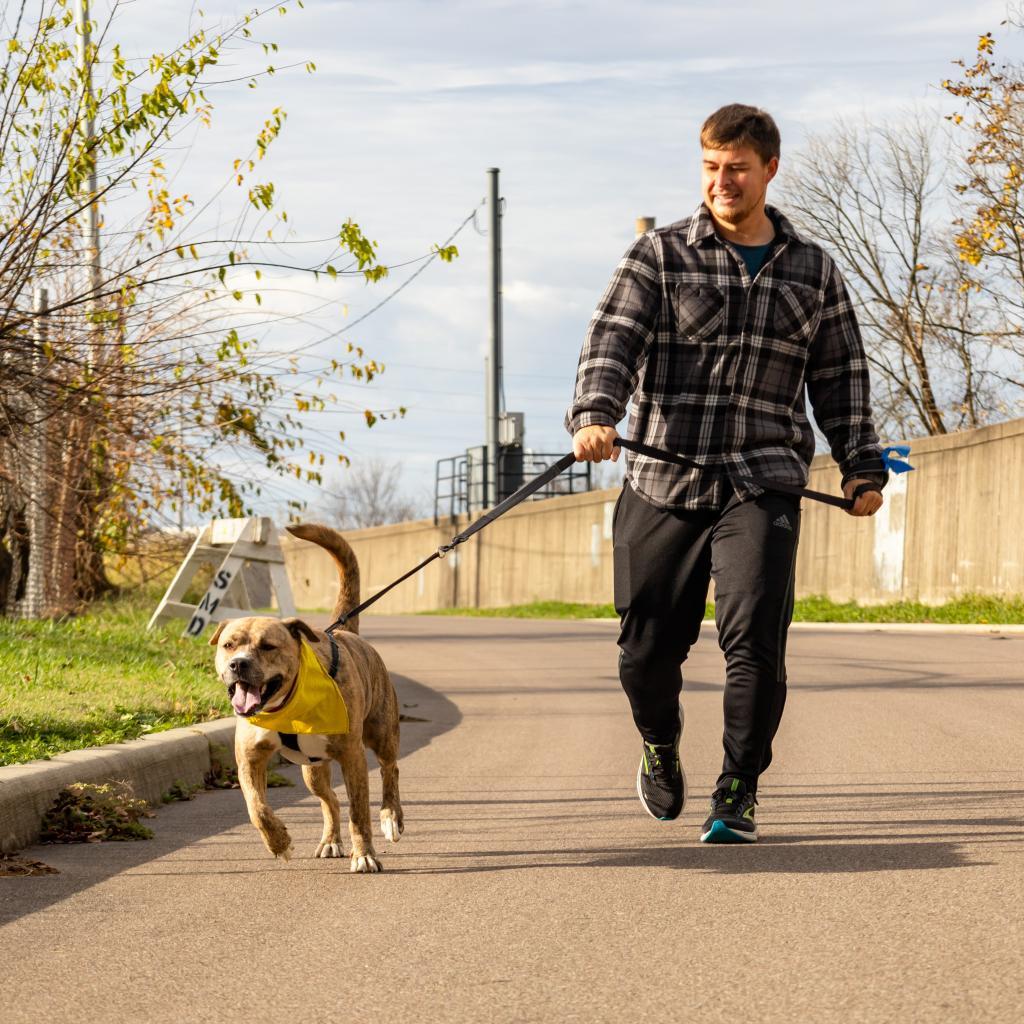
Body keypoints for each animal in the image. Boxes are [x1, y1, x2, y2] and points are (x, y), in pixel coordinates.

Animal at [207, 528, 399, 872]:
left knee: (390, 771)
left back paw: (391, 818)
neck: (286, 704)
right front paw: (279, 842)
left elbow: (359, 813)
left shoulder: (353, 756)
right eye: (229, 645)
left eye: (268, 646)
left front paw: (364, 854)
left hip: (382, 734)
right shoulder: (249, 759)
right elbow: (257, 808)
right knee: (330, 799)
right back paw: (330, 840)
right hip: (313, 770)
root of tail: (347, 633)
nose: (238, 664)